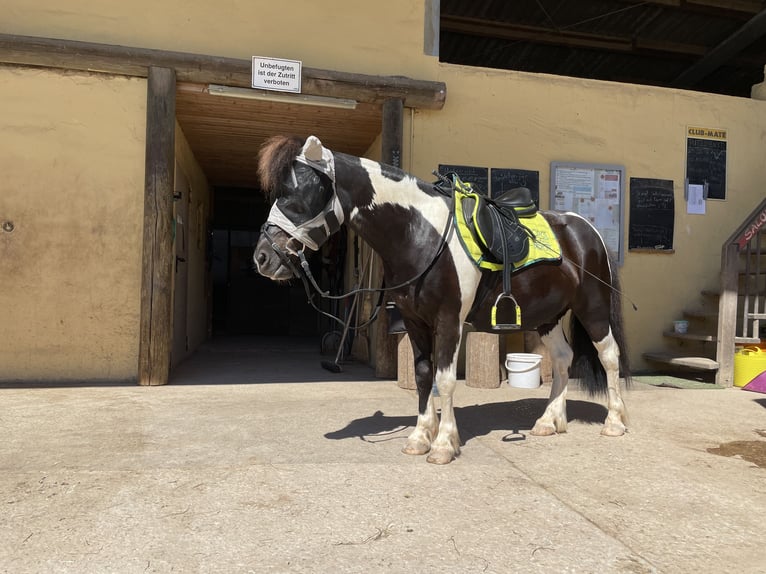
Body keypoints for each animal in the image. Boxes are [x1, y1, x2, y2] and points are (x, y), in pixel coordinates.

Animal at [255, 136, 632, 468]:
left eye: (299, 195)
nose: (262, 258)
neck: (420, 233)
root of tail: (588, 230)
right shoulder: (414, 320)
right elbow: (424, 376)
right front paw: (420, 437)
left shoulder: (448, 320)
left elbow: (446, 379)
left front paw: (443, 445)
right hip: (547, 316)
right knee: (564, 357)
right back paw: (549, 421)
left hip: (593, 309)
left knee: (609, 355)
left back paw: (615, 422)